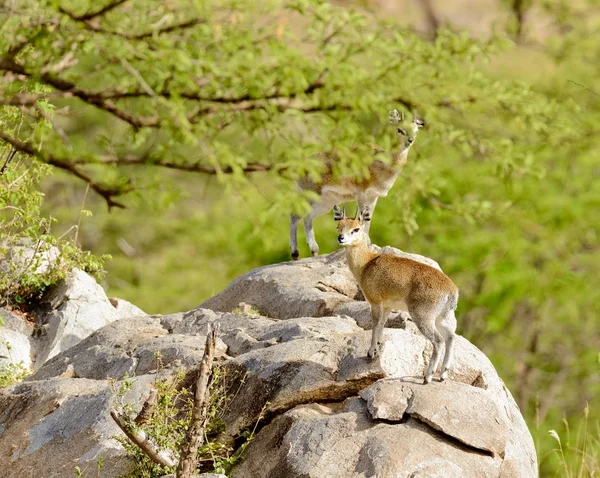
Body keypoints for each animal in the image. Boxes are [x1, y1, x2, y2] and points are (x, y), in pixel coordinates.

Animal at [290, 109, 422, 260]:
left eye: (416, 130)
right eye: (399, 129)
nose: (409, 141)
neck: (383, 164)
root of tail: (299, 168)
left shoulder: (373, 197)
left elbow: (368, 218)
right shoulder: (361, 194)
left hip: (326, 202)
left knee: (307, 217)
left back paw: (314, 251)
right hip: (309, 195)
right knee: (294, 216)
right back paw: (295, 254)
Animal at [332, 204, 460, 382]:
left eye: (356, 228)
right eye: (339, 226)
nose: (341, 238)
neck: (366, 264)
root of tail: (452, 291)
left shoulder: (375, 302)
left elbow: (375, 324)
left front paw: (370, 353)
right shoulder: (387, 306)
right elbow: (381, 326)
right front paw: (377, 350)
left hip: (423, 317)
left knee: (438, 341)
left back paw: (427, 377)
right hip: (444, 317)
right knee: (451, 338)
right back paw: (443, 375)